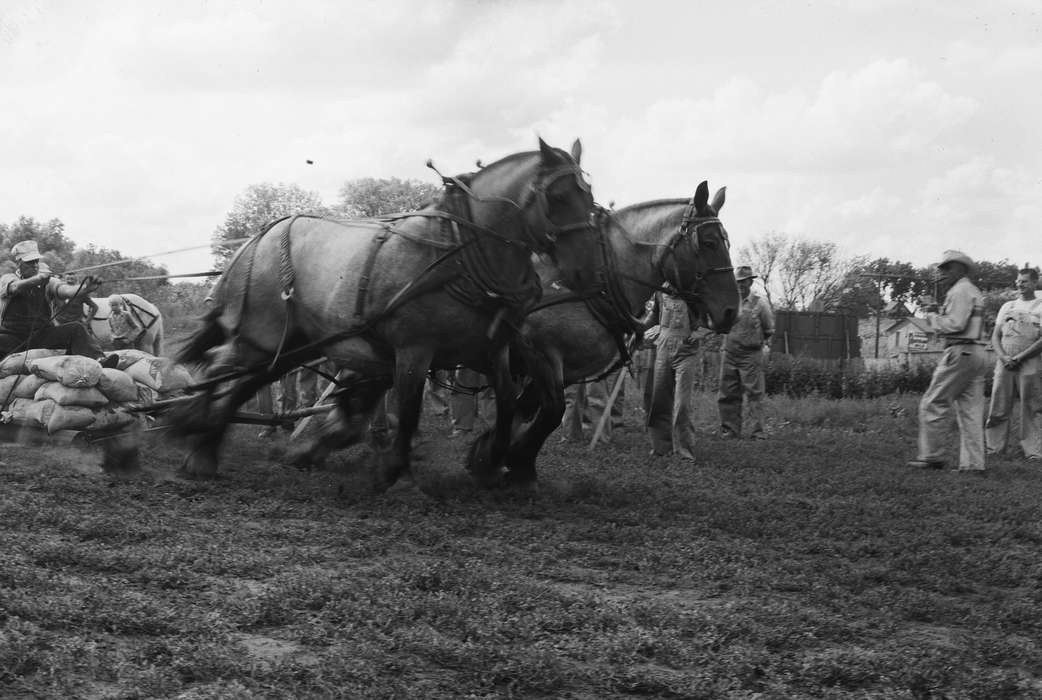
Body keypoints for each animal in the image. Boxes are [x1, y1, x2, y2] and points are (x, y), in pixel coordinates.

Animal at [173, 138, 599, 487]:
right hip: (262, 335)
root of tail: (257, 238)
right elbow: (409, 409)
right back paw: (193, 430)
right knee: (220, 371)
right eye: (558, 195)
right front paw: (397, 472)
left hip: (292, 345)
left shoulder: (491, 350)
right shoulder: (414, 349)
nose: (584, 270)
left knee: (244, 382)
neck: (457, 254)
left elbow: (509, 402)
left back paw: (205, 446)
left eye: (590, 196)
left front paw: (491, 460)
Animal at [493, 181, 739, 483]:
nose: (731, 311)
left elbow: (527, 410)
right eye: (709, 242)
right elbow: (549, 410)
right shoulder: (539, 353)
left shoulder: (564, 370)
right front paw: (510, 464)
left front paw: (501, 460)